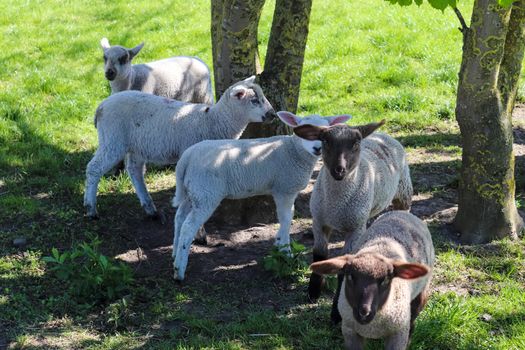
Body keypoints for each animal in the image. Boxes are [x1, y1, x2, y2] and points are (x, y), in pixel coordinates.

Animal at [83, 76, 274, 219]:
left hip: (136, 144)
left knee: (134, 171)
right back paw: (90, 208)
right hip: (112, 138)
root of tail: (101, 107)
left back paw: (150, 208)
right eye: (254, 101)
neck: (212, 120)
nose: (272, 114)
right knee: (94, 168)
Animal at [172, 110, 352, 280]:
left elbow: (287, 217)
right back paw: (179, 270)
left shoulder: (283, 190)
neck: (294, 151)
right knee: (188, 227)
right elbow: (287, 218)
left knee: (179, 218)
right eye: (303, 131)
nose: (317, 149)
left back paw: (174, 253)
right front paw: (286, 251)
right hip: (206, 192)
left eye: (325, 134)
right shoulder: (284, 189)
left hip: (192, 191)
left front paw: (279, 242)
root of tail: (187, 157)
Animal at [292, 119, 412, 322]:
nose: (339, 170)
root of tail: (383, 134)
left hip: (403, 193)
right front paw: (313, 292)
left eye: (356, 143)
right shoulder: (319, 221)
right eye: (325, 141)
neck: (336, 205)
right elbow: (319, 254)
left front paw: (336, 314)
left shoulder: (355, 228)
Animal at [310, 211, 432, 350]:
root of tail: (402, 212)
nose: (364, 312)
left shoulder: (398, 333)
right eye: (350, 276)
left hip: (420, 296)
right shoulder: (349, 331)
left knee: (413, 321)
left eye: (386, 279)